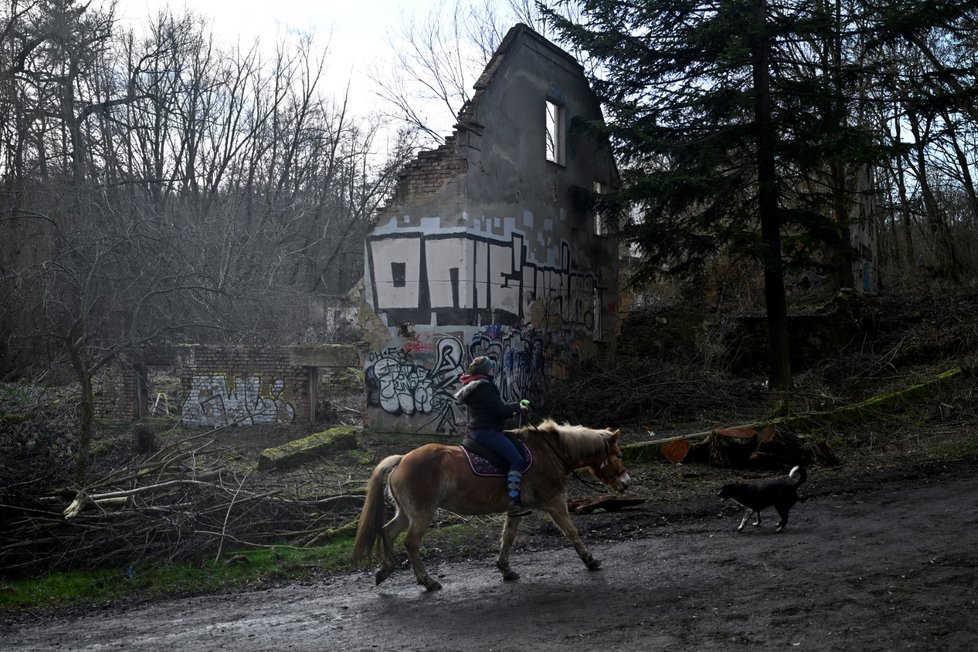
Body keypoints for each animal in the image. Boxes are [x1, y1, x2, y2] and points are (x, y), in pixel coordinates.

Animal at [350, 418, 632, 592]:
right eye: (619, 455)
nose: (626, 483)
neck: (549, 453)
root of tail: (402, 459)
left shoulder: (515, 509)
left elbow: (508, 537)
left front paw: (506, 569)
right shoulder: (555, 502)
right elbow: (571, 531)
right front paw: (590, 560)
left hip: (406, 513)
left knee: (387, 531)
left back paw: (385, 570)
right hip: (421, 513)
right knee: (410, 542)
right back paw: (427, 581)